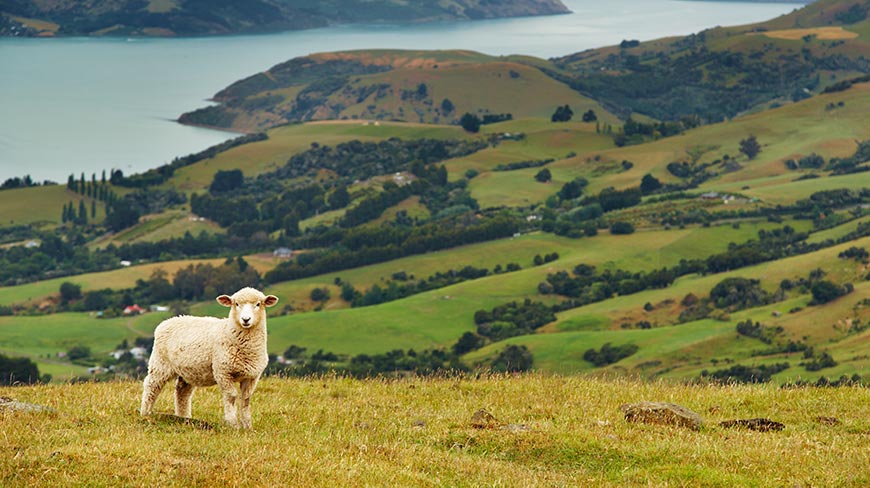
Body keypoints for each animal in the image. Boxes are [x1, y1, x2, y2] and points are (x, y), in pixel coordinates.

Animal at [140, 287, 278, 429]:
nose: (246, 319)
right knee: (151, 386)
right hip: (160, 364)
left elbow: (246, 399)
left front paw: (247, 426)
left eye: (258, 304)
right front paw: (233, 424)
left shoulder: (252, 376)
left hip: (188, 371)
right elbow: (231, 396)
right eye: (236, 304)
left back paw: (184, 418)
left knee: (182, 392)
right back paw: (146, 414)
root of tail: (168, 321)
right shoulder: (223, 372)